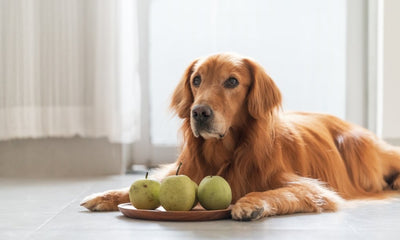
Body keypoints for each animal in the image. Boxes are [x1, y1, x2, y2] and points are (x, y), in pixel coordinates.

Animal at [80, 53, 400, 221]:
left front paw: (250, 203)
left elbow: (276, 192)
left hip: (362, 153)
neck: (225, 152)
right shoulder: (182, 171)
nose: (199, 112)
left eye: (232, 81)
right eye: (196, 80)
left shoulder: (313, 188)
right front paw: (104, 196)